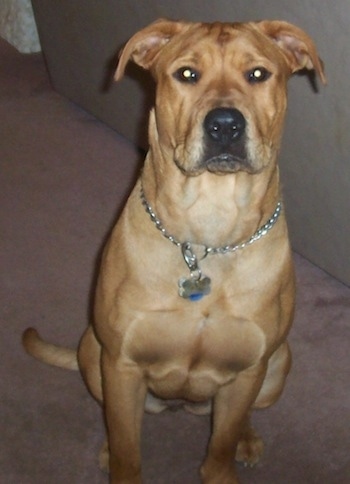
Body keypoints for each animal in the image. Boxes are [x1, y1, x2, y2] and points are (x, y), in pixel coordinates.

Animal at [23, 18, 326, 484]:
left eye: (257, 73)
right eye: (187, 74)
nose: (225, 125)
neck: (208, 233)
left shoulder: (248, 372)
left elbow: (220, 445)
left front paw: (225, 462)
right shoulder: (122, 363)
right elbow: (128, 448)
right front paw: (119, 458)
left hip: (277, 367)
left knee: (244, 415)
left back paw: (248, 439)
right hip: (92, 353)